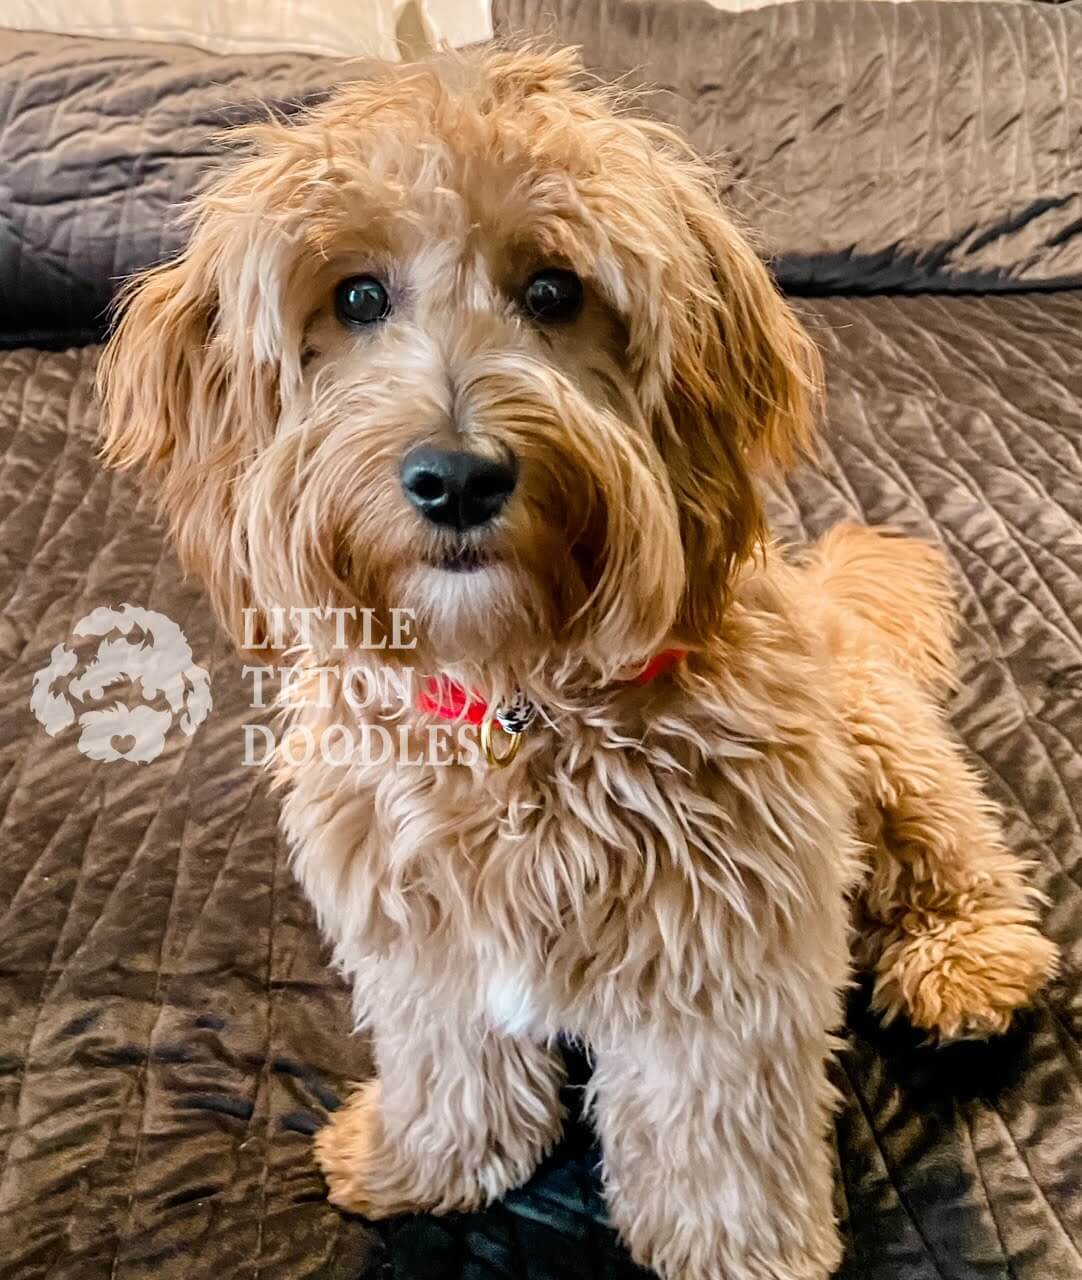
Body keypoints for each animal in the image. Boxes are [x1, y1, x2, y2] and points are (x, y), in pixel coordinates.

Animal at [97, 47, 1049, 1280]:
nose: (455, 477)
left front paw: (737, 1252)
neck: (519, 694)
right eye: (356, 298)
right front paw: (424, 1164)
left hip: (875, 740)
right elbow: (451, 1071)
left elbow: (714, 1133)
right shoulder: (427, 946)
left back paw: (964, 958)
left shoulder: (718, 955)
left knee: (954, 847)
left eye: (553, 291)